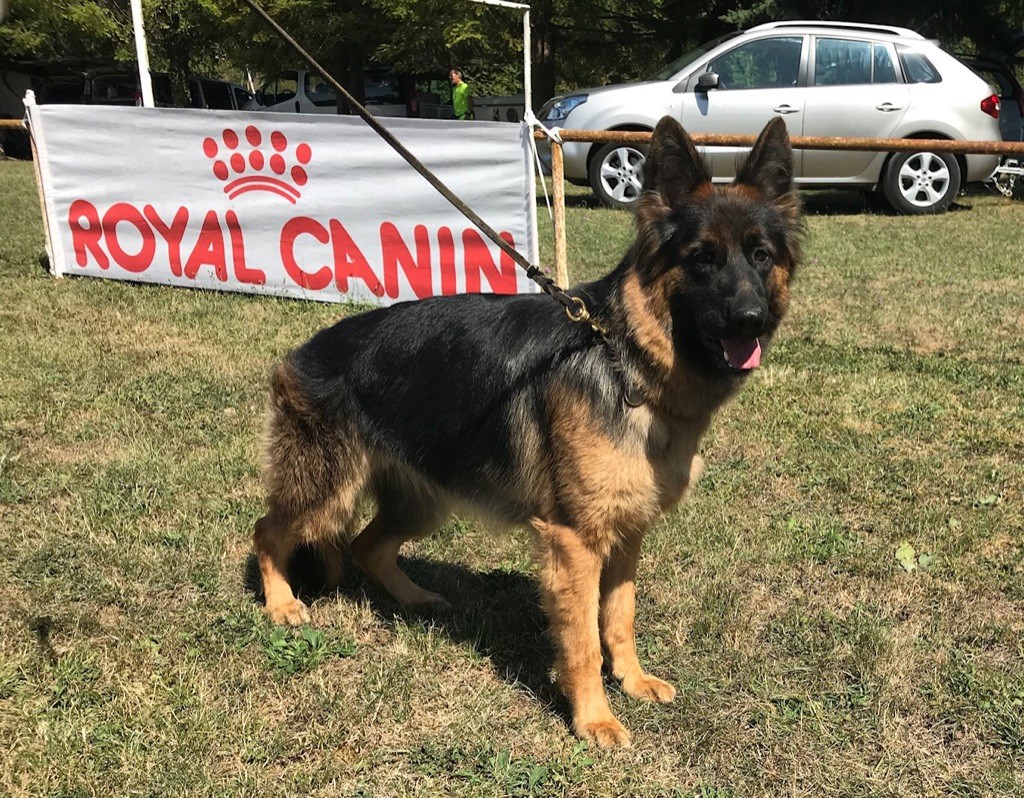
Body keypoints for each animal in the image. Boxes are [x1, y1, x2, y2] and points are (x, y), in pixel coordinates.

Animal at [253, 115, 798, 745]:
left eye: (760, 256)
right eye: (702, 258)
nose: (749, 321)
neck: (625, 357)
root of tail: (305, 351)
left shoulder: (626, 533)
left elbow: (620, 615)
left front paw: (633, 681)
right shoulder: (575, 542)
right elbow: (583, 639)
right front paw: (594, 718)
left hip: (423, 500)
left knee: (367, 545)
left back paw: (415, 597)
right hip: (327, 489)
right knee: (267, 532)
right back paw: (282, 605)